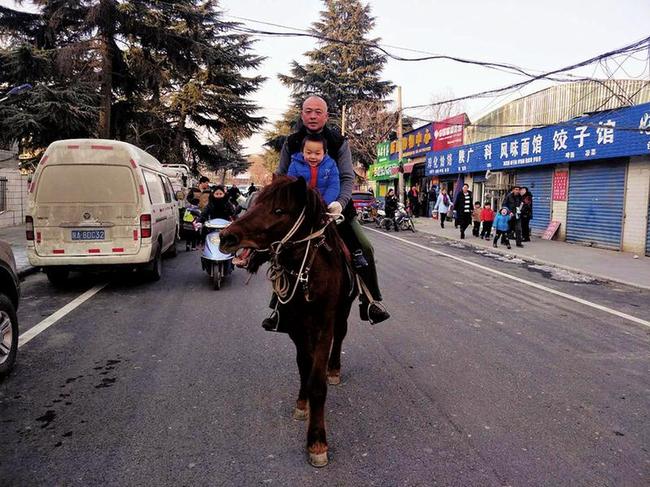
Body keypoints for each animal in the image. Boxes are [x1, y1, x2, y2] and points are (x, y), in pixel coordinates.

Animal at [218, 176, 354, 468]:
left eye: (279, 210)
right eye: (254, 202)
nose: (226, 237)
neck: (307, 274)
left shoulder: (324, 326)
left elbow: (317, 383)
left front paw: (317, 442)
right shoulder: (296, 327)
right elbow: (304, 368)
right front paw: (302, 405)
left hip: (344, 312)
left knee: (341, 336)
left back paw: (334, 369)